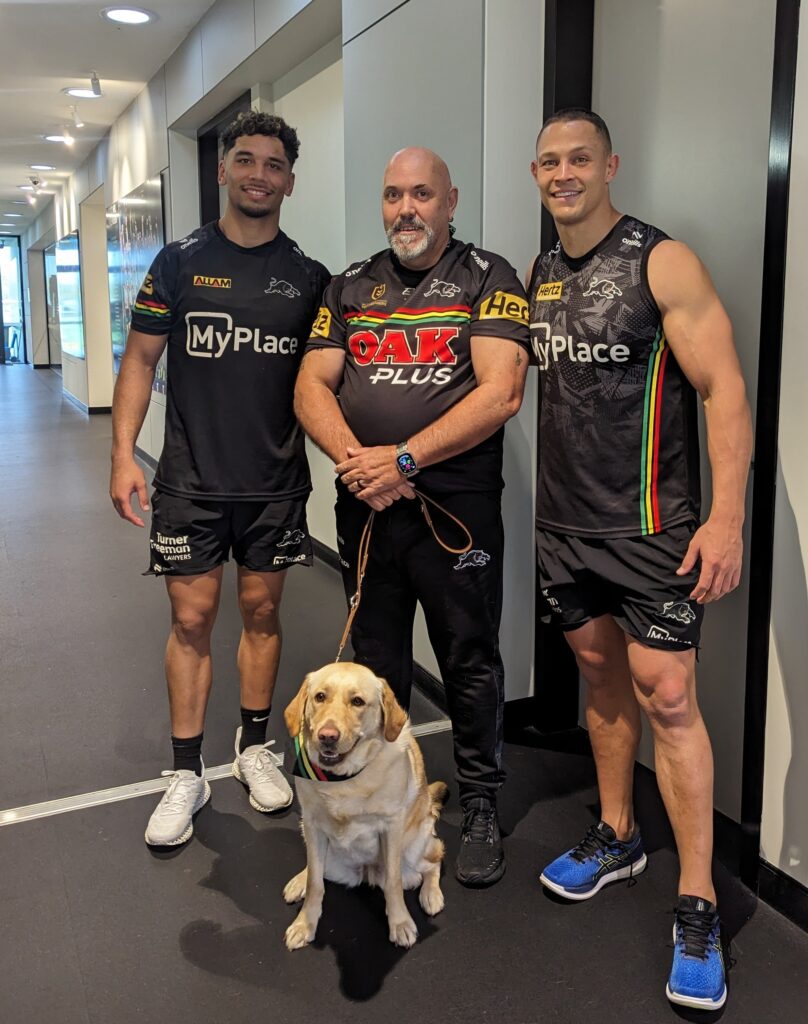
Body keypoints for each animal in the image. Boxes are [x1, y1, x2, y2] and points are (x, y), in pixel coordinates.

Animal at [284, 663, 448, 950]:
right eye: (319, 697)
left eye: (358, 701)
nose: (327, 736)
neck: (344, 780)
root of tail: (367, 873)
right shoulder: (313, 824)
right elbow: (315, 881)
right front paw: (304, 923)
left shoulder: (391, 828)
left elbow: (393, 883)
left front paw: (400, 923)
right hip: (323, 850)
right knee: (317, 869)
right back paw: (299, 881)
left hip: (413, 853)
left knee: (434, 859)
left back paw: (431, 895)